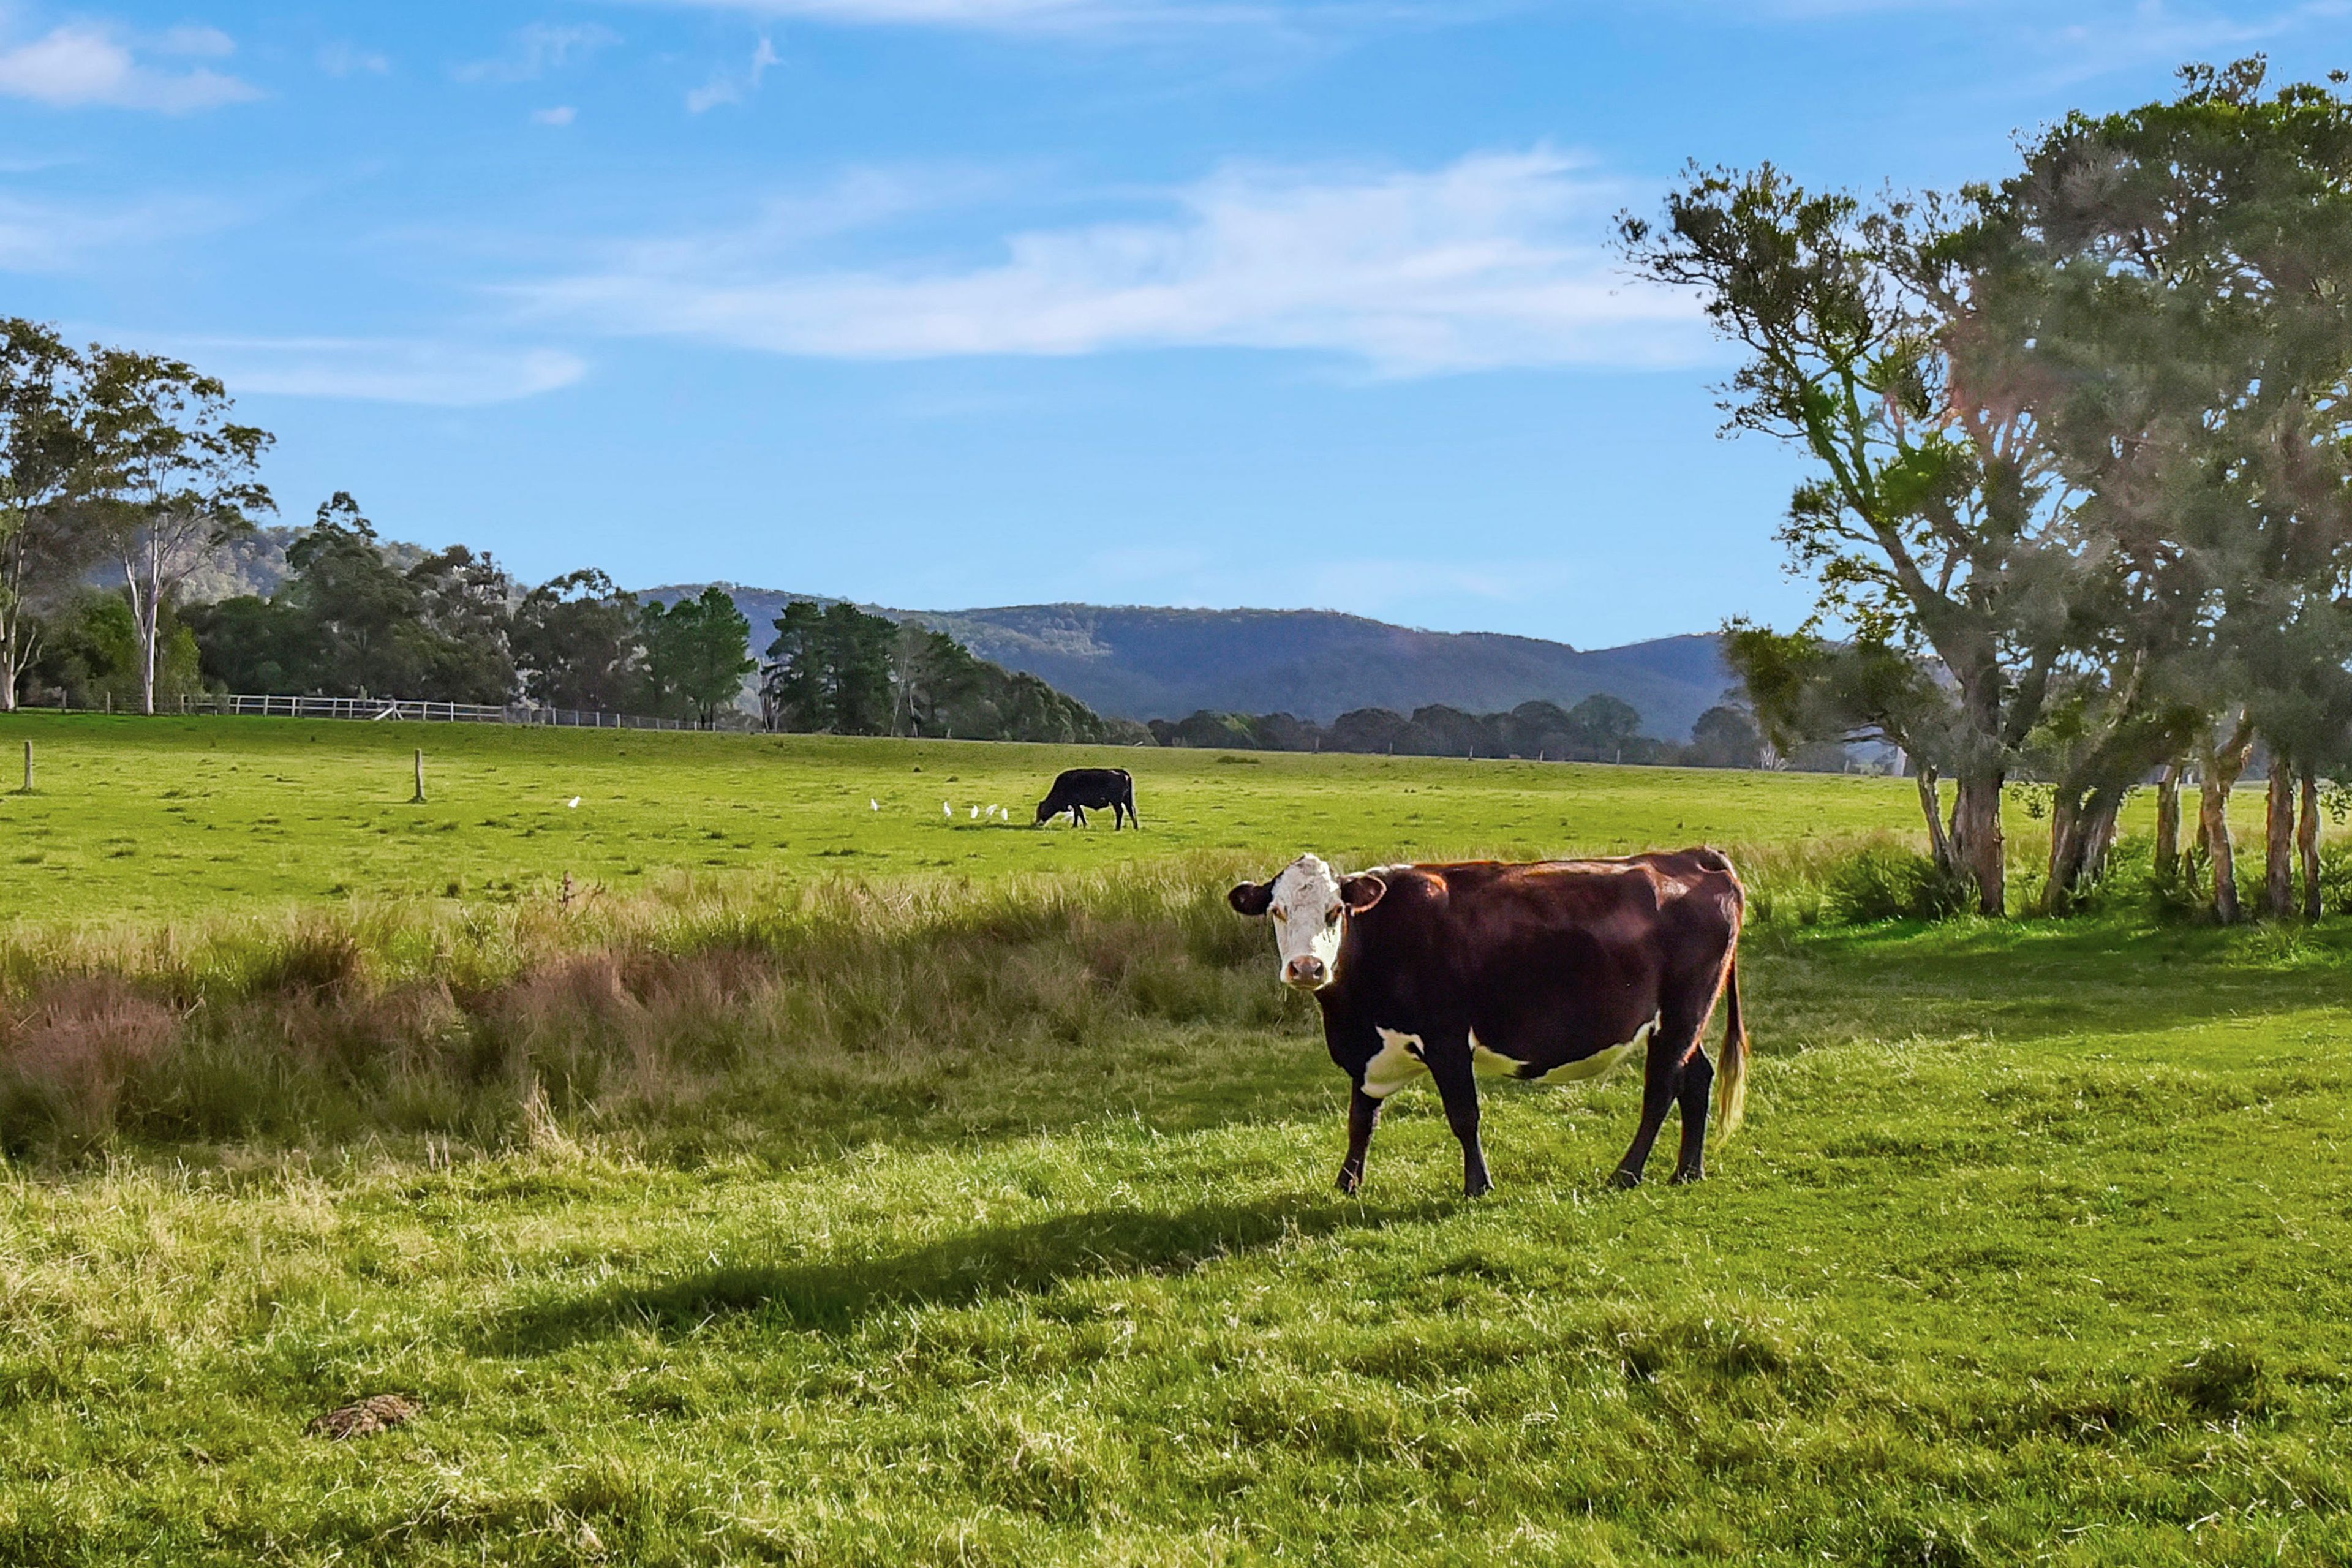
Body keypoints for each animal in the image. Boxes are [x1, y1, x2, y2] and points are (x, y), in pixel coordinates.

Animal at [1034, 767, 1139, 829]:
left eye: (1040, 811)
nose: (1037, 823)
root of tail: (1123, 774)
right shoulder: (1076, 804)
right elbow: (1079, 814)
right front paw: (1079, 825)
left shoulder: (1075, 803)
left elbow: (1078, 814)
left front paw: (1078, 826)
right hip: (1127, 801)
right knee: (1131, 811)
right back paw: (1135, 827)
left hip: (1116, 802)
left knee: (1120, 812)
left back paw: (1117, 828)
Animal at [1227, 849, 1747, 1196]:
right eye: (1278, 911)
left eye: (1335, 910)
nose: (1307, 968)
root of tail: (1694, 856)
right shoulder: (1370, 1053)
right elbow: (1361, 1121)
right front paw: (1347, 1184)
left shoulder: (1447, 1039)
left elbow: (1464, 1116)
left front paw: (1478, 1185)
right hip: (1684, 1020)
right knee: (1696, 1079)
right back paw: (1687, 1171)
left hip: (1682, 1011)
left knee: (1661, 1089)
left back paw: (1626, 1173)